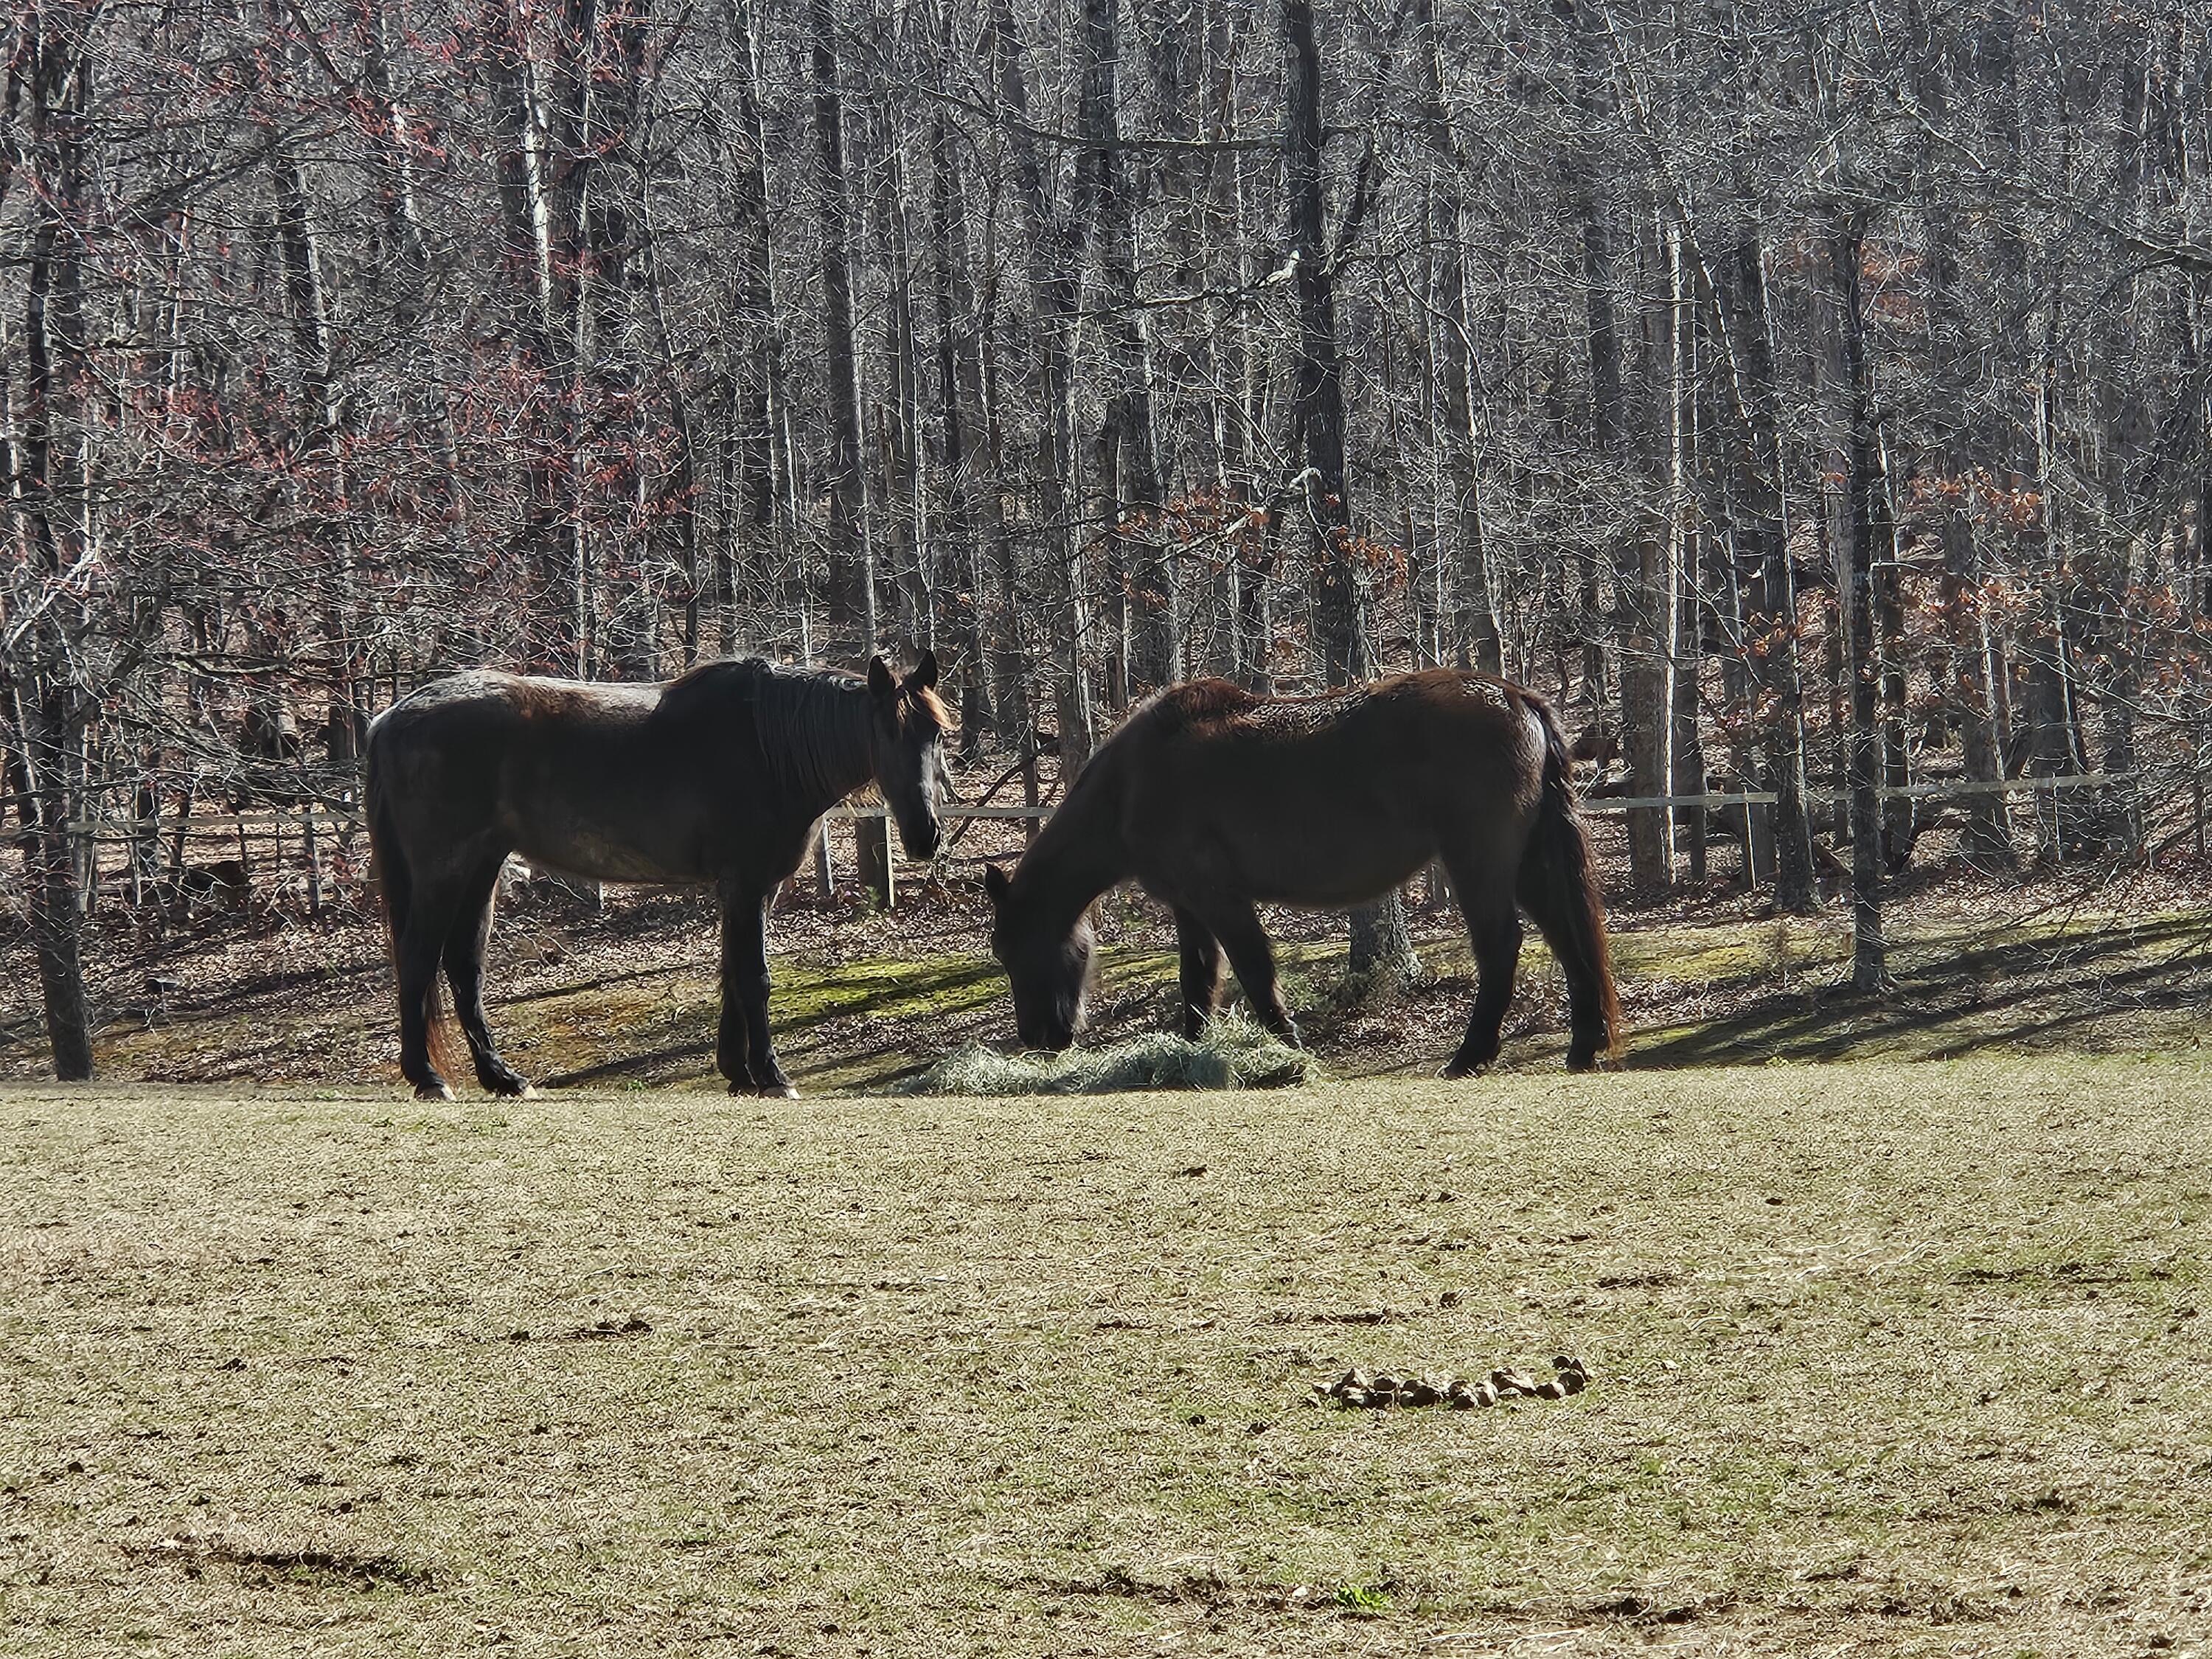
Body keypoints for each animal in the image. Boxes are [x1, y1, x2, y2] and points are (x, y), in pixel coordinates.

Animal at [365, 655, 951, 1106]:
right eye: (887, 732)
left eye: (937, 734)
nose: (926, 836)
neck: (767, 749)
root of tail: (391, 716)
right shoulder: (746, 885)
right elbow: (754, 977)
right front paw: (772, 1076)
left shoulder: (748, 890)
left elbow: (731, 974)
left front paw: (738, 1072)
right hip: (444, 870)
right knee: (417, 960)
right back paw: (429, 1079)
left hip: (481, 869)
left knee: (464, 969)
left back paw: (503, 1078)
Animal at [991, 672, 1628, 1079]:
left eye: (1014, 949)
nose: (1038, 1036)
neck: (1133, 783)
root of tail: (1513, 695)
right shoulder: (1189, 905)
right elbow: (1198, 978)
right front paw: (1185, 1052)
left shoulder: (1218, 898)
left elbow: (1252, 969)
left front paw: (1289, 1047)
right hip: (1529, 865)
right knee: (1568, 939)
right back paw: (1583, 1046)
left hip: (1479, 862)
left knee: (1502, 945)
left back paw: (1470, 1055)